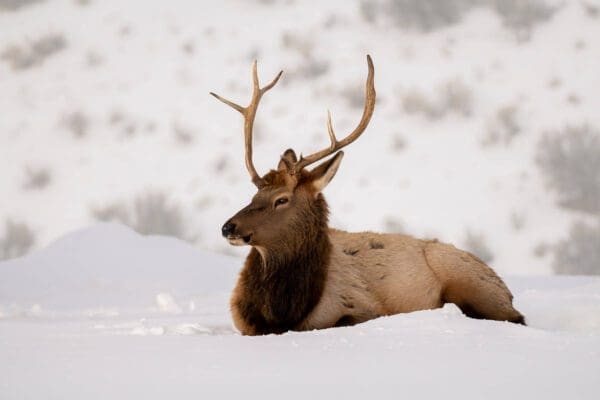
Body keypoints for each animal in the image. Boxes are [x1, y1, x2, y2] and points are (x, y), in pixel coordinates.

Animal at [212, 54, 524, 336]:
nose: (228, 227)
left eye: (281, 199)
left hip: (472, 282)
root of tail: (506, 288)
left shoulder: (360, 306)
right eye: (254, 193)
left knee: (514, 317)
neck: (281, 312)